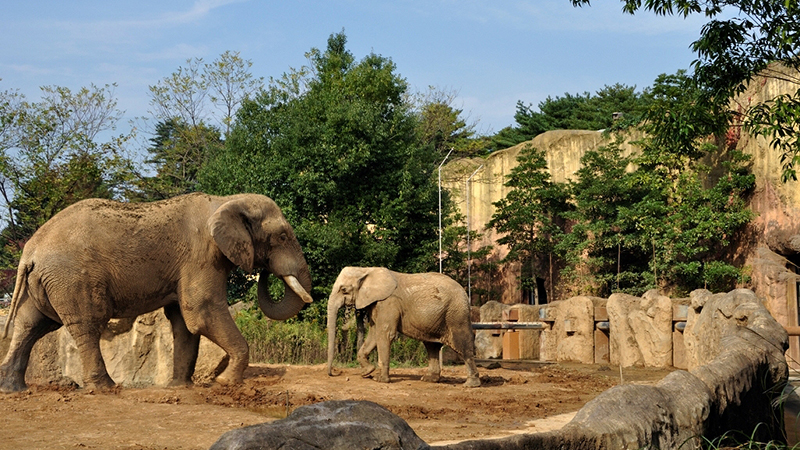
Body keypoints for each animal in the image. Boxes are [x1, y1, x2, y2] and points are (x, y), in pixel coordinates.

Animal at [0, 192, 312, 392]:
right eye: (282, 236)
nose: (265, 272)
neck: (225, 200)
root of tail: (30, 250)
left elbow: (183, 322)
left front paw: (180, 387)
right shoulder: (201, 255)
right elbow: (201, 311)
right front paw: (225, 383)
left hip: (44, 282)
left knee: (32, 325)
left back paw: (12, 389)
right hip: (72, 278)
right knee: (87, 324)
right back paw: (106, 388)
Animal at [326, 268, 478, 386]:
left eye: (343, 290)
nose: (333, 373)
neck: (365, 270)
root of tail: (464, 291)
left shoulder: (389, 302)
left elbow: (385, 334)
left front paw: (379, 380)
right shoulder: (377, 304)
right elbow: (374, 333)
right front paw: (367, 372)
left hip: (456, 314)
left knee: (462, 344)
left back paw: (470, 384)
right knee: (432, 346)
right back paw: (428, 379)